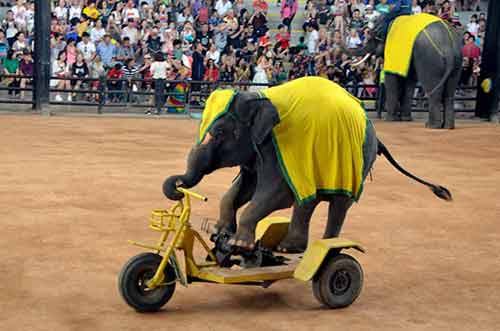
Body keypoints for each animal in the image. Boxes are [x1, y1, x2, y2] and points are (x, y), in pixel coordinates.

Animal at [164, 78, 454, 254]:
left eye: (219, 133)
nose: (178, 185)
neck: (259, 96)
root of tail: (375, 132)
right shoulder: (259, 151)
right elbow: (241, 190)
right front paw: (220, 231)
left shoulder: (280, 147)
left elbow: (274, 194)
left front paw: (238, 243)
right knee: (308, 202)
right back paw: (291, 248)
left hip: (357, 162)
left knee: (337, 205)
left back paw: (324, 246)